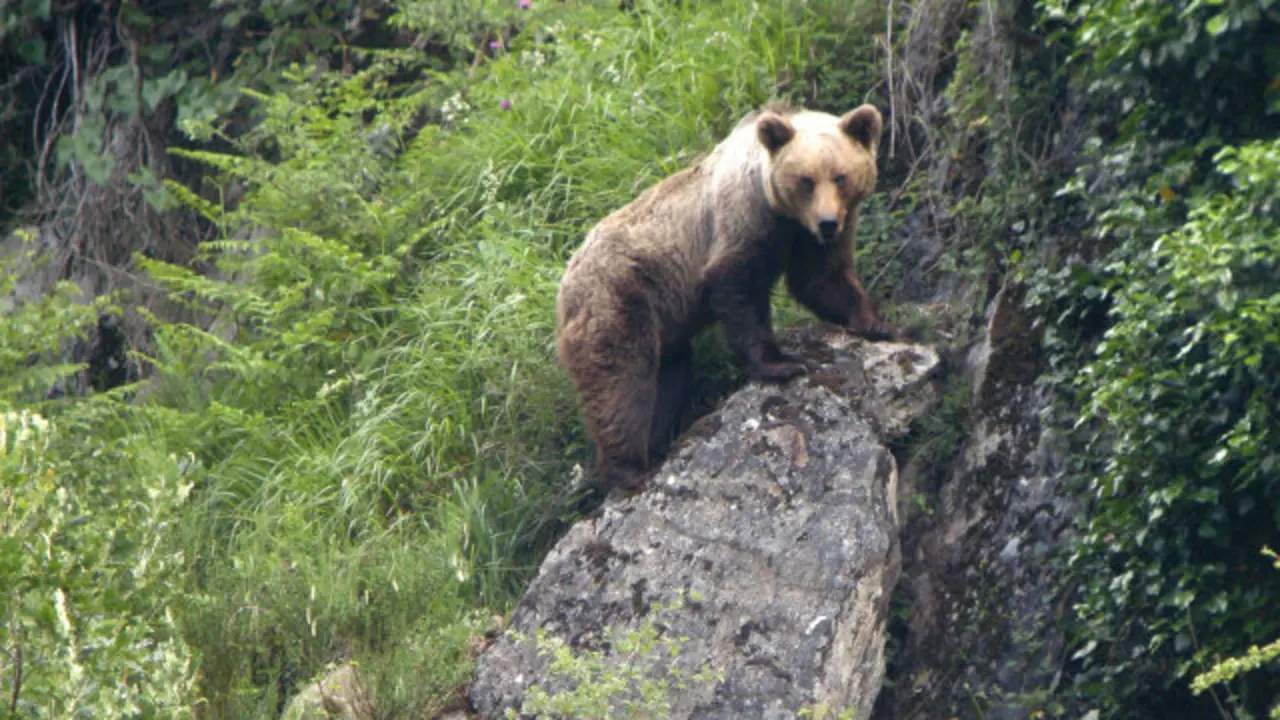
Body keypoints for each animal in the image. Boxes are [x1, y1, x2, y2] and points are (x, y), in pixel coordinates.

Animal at [556, 102, 901, 492]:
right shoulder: (743, 220)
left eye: (840, 177)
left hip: (662, 323)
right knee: (622, 384)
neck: (782, 212)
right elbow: (739, 288)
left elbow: (821, 277)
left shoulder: (809, 235)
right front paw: (782, 363)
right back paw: (630, 469)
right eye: (806, 180)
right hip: (620, 298)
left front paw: (880, 323)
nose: (827, 222)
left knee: (669, 378)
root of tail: (566, 278)